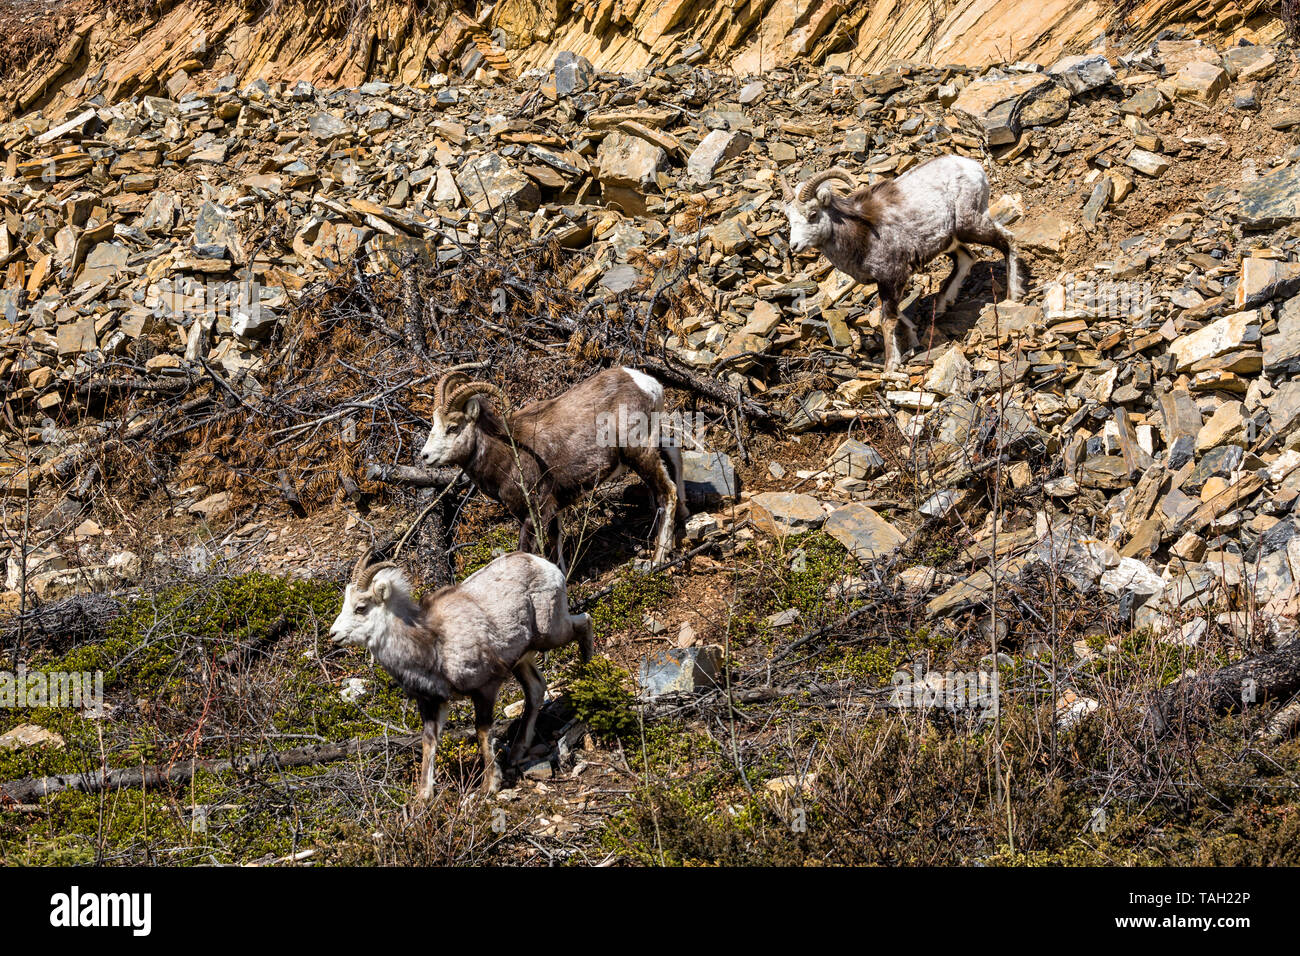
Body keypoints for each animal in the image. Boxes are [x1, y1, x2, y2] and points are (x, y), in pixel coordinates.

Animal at [328, 550, 594, 798]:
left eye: (360, 608)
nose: (333, 634)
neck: (433, 643)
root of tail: (541, 564)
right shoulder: (430, 702)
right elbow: (429, 742)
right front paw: (423, 797)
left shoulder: (485, 689)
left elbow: (482, 733)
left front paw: (490, 786)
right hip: (521, 659)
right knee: (536, 689)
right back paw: (518, 752)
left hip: (551, 633)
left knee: (585, 622)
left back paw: (592, 681)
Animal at [418, 365, 688, 572]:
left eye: (453, 427)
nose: (425, 456)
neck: (507, 453)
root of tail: (649, 385)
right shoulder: (555, 509)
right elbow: (556, 549)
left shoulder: (537, 512)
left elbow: (532, 551)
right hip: (651, 441)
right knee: (674, 452)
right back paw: (685, 516)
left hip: (638, 451)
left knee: (667, 492)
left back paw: (658, 559)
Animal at [780, 154, 1021, 370]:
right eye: (790, 218)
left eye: (813, 214)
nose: (794, 246)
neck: (861, 234)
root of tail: (974, 167)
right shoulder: (888, 283)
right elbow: (895, 314)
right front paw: (913, 339)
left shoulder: (891, 277)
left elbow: (887, 319)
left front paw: (890, 366)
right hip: (951, 240)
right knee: (966, 258)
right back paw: (942, 306)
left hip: (970, 225)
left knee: (1007, 240)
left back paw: (1012, 298)